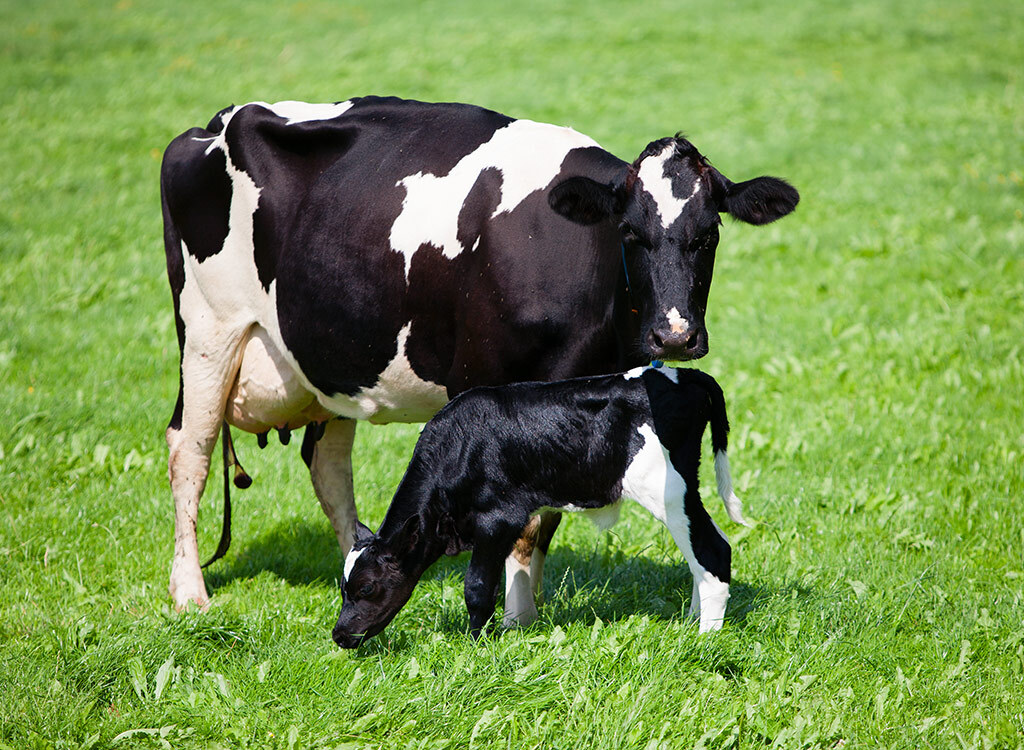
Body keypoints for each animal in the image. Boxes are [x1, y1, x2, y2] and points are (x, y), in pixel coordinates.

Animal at [160, 96, 798, 615]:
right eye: (629, 233)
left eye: (709, 234)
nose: (675, 336)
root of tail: (216, 123)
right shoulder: (486, 382)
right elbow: (521, 524)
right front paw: (516, 617)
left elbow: (544, 519)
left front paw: (525, 608)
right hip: (208, 331)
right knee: (189, 449)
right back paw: (190, 594)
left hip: (331, 360)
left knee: (328, 464)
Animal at [332, 366, 747, 646]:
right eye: (343, 587)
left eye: (366, 588)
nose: (338, 635)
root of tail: (684, 374)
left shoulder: (496, 519)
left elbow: (478, 585)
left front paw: (477, 646)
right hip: (685, 491)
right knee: (705, 549)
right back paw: (692, 621)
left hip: (668, 490)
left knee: (713, 550)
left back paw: (705, 638)